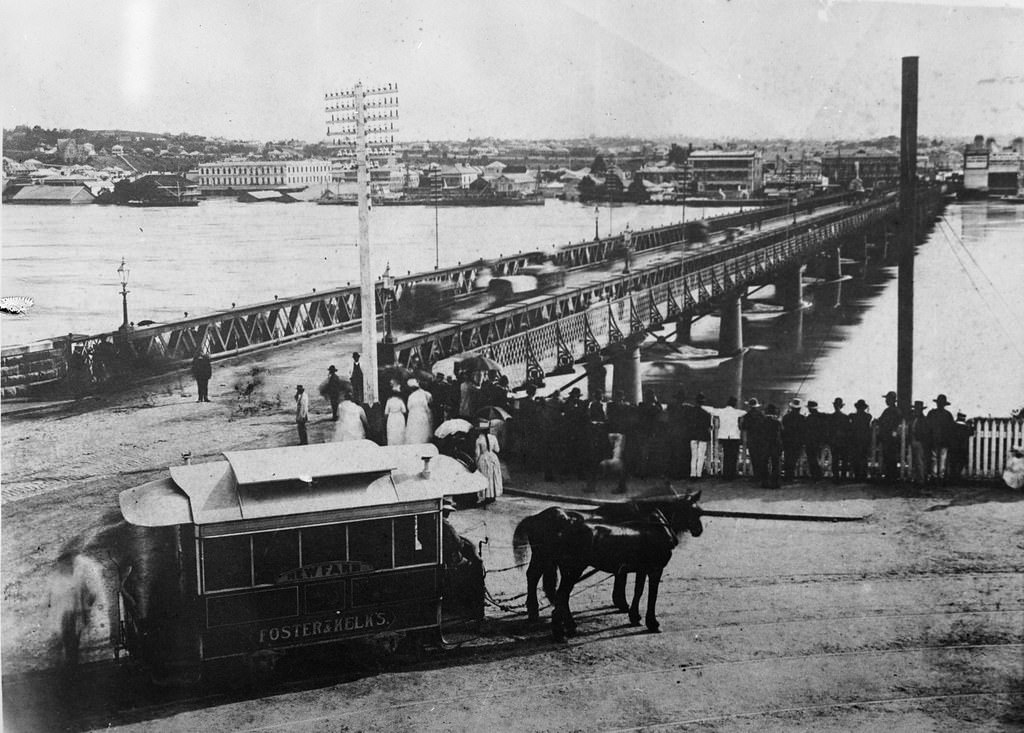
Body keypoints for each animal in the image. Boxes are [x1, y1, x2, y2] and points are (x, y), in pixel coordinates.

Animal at [516, 493, 700, 642]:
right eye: (694, 510)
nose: (699, 530)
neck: (652, 525)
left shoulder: (641, 569)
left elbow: (638, 590)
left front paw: (633, 615)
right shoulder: (655, 569)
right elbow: (650, 595)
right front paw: (651, 622)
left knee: (549, 587)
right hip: (566, 567)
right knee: (549, 588)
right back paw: (556, 629)